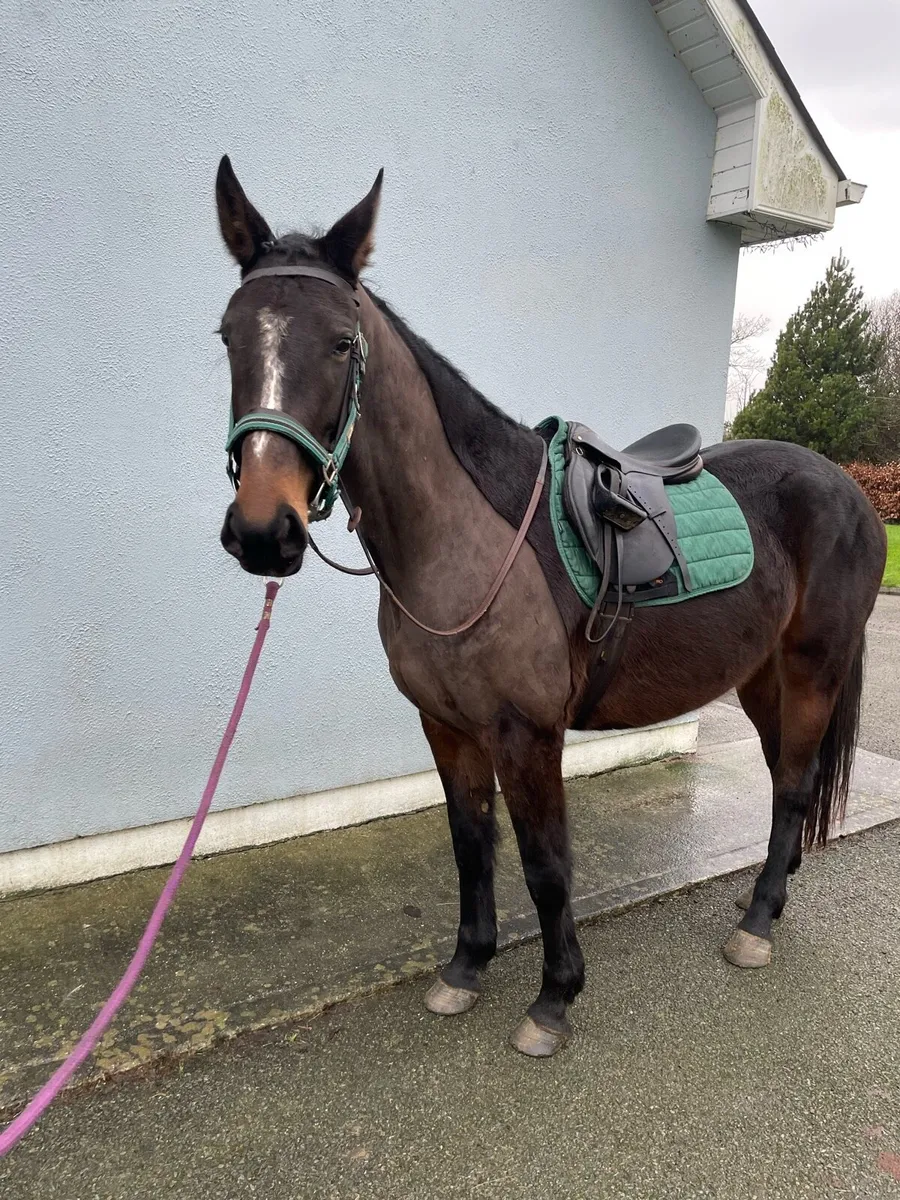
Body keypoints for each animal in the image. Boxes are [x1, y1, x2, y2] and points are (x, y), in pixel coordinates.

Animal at [213, 158, 887, 1057]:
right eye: (228, 337)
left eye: (341, 342)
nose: (263, 532)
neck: (461, 541)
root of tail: (846, 486)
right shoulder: (447, 726)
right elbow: (471, 847)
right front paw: (467, 967)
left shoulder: (527, 732)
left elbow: (546, 864)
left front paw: (554, 998)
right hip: (759, 676)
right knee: (788, 774)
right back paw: (769, 897)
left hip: (815, 668)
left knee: (793, 784)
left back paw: (755, 925)